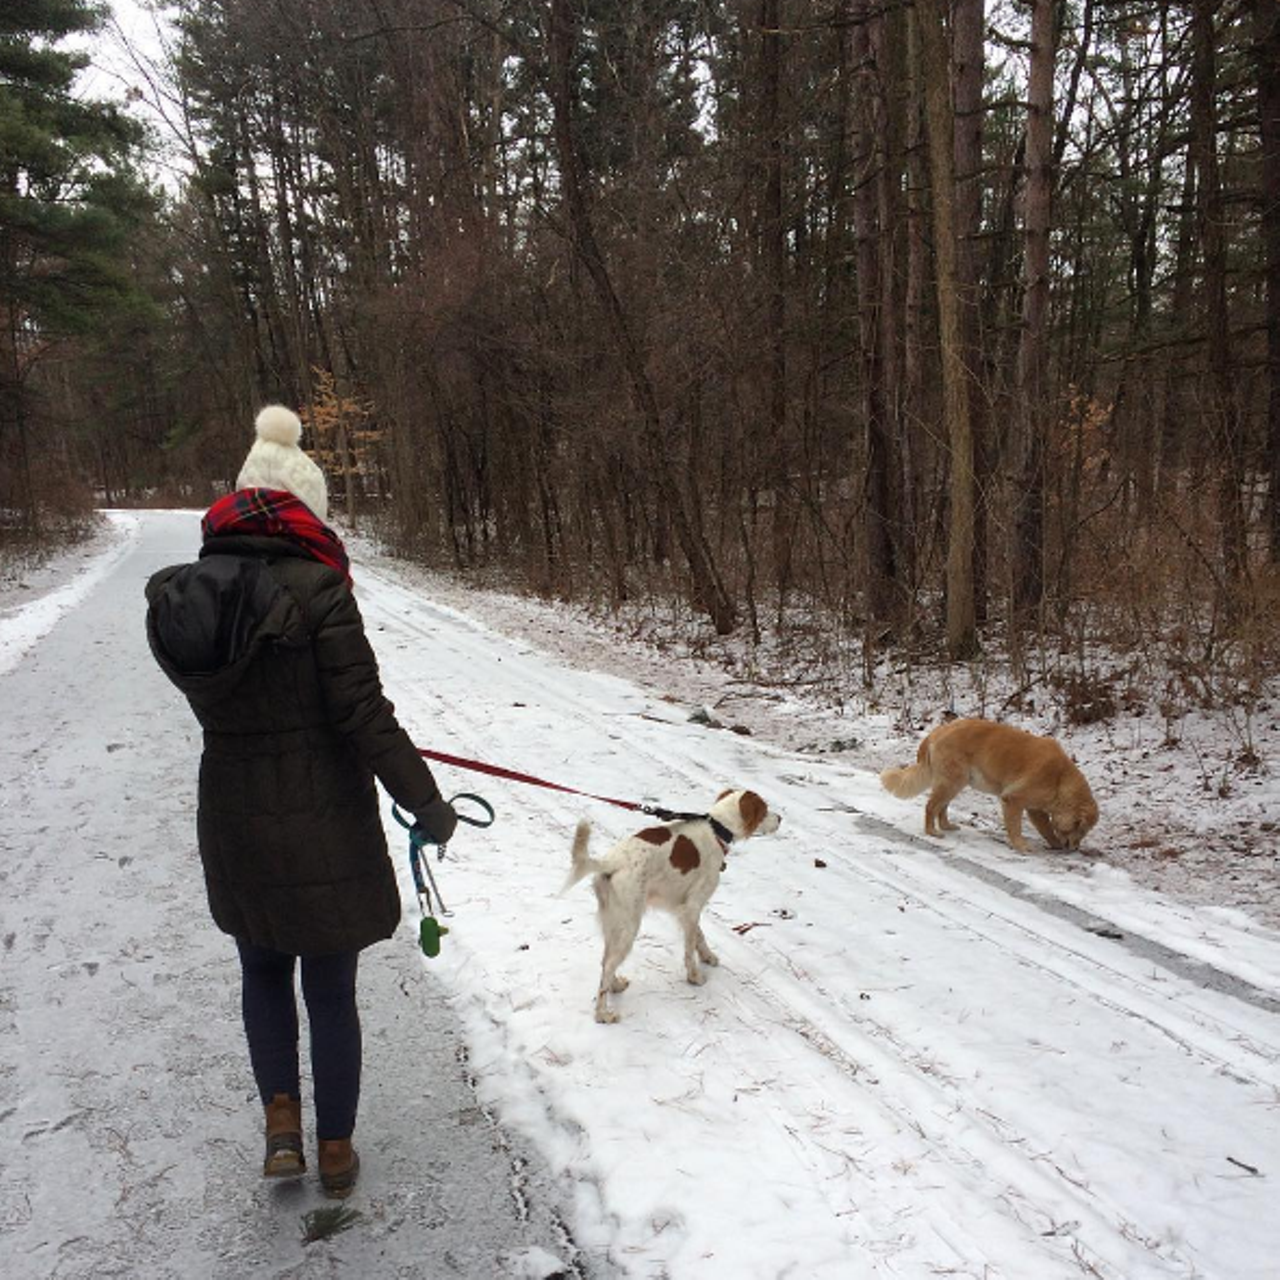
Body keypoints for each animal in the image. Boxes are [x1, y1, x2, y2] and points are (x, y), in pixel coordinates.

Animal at [568, 788, 783, 1018]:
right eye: (765, 810)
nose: (780, 818)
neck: (716, 829)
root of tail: (611, 861)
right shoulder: (693, 905)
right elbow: (689, 949)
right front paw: (695, 977)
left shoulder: (685, 908)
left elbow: (699, 936)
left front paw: (708, 956)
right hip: (629, 925)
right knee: (608, 965)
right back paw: (602, 1014)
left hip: (614, 923)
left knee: (606, 961)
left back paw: (615, 985)